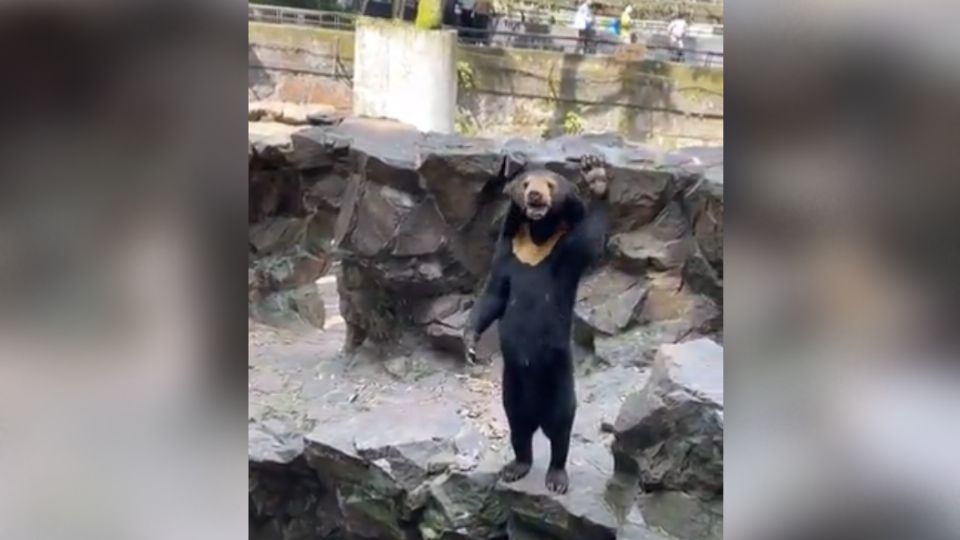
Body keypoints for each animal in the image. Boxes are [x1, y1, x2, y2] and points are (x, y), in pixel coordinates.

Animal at [464, 155, 612, 494]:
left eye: (551, 184)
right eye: (526, 183)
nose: (534, 196)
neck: (536, 238)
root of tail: (537, 416)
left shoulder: (566, 252)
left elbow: (592, 243)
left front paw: (595, 173)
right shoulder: (508, 250)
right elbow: (494, 295)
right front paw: (469, 345)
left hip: (558, 379)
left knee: (561, 427)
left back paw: (556, 478)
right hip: (511, 387)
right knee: (518, 427)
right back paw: (515, 467)